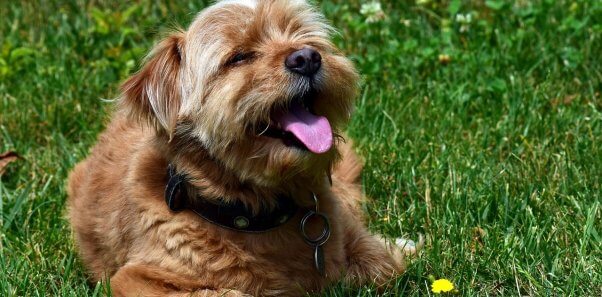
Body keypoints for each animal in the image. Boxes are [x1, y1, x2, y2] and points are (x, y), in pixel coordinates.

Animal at [65, 1, 418, 294]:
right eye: (239, 57)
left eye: (305, 37)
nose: (306, 58)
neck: (255, 210)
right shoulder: (137, 280)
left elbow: (385, 264)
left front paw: (398, 249)